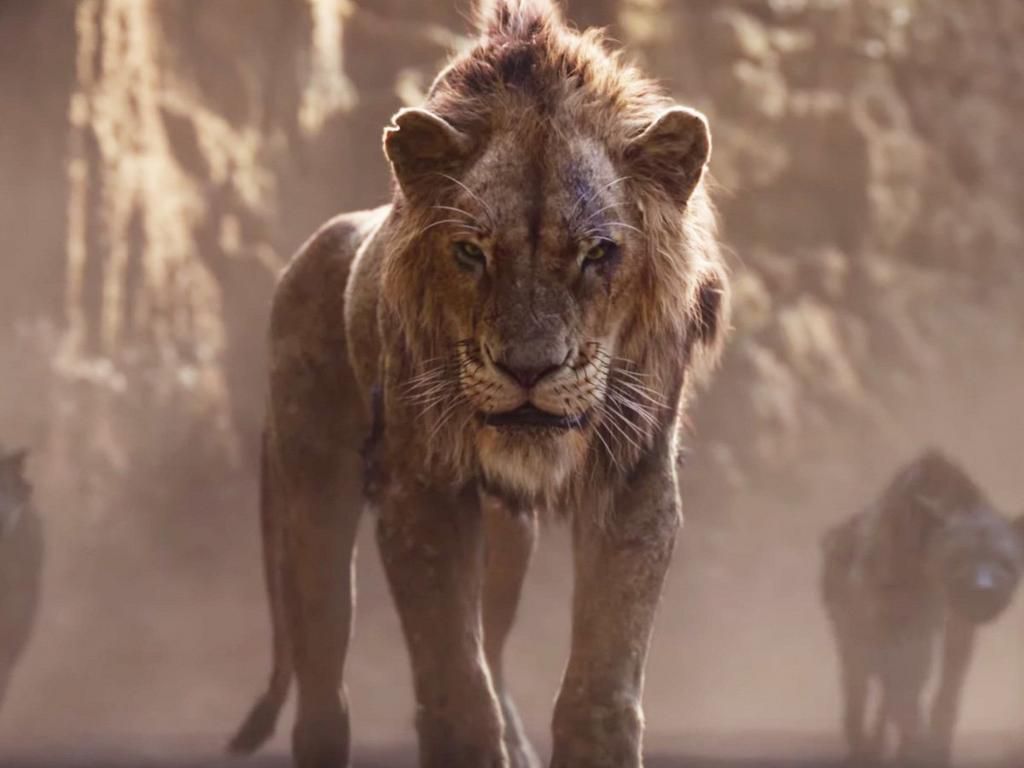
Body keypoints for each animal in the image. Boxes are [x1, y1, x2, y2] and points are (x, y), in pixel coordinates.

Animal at [228, 1, 729, 766]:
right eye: (470, 252)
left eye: (598, 253)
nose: (528, 369)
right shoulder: (422, 488)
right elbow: (456, 691)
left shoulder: (635, 480)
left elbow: (599, 688)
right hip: (313, 496)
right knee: (323, 691)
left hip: (507, 538)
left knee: (490, 648)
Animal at [822, 450, 1024, 766]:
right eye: (959, 557)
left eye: (1004, 561)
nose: (984, 589)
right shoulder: (892, 624)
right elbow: (901, 693)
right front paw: (916, 748)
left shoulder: (955, 625)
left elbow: (946, 688)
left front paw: (934, 746)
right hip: (852, 636)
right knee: (858, 684)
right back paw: (862, 747)